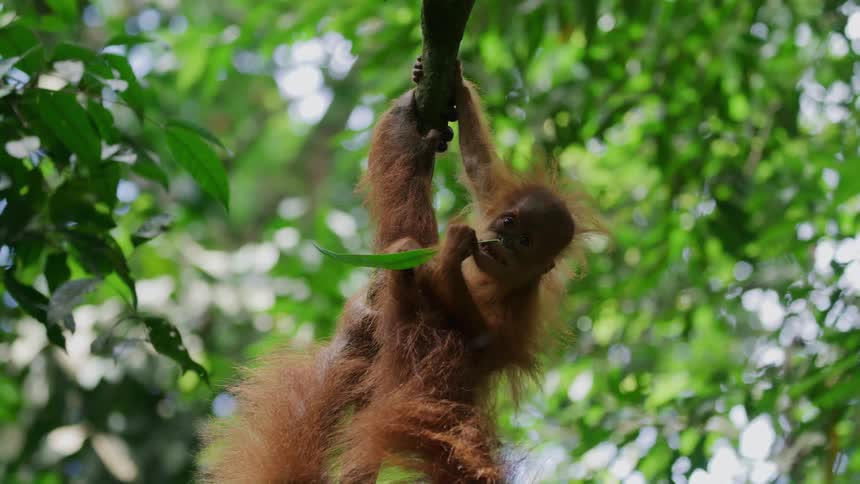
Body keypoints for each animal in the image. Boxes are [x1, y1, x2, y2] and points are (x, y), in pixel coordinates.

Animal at [199, 59, 596, 483]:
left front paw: (445, 256)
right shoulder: (492, 200)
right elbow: (479, 165)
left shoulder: (520, 297)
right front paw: (451, 85)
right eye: (508, 222)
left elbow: (481, 334)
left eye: (524, 242)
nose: (501, 243)